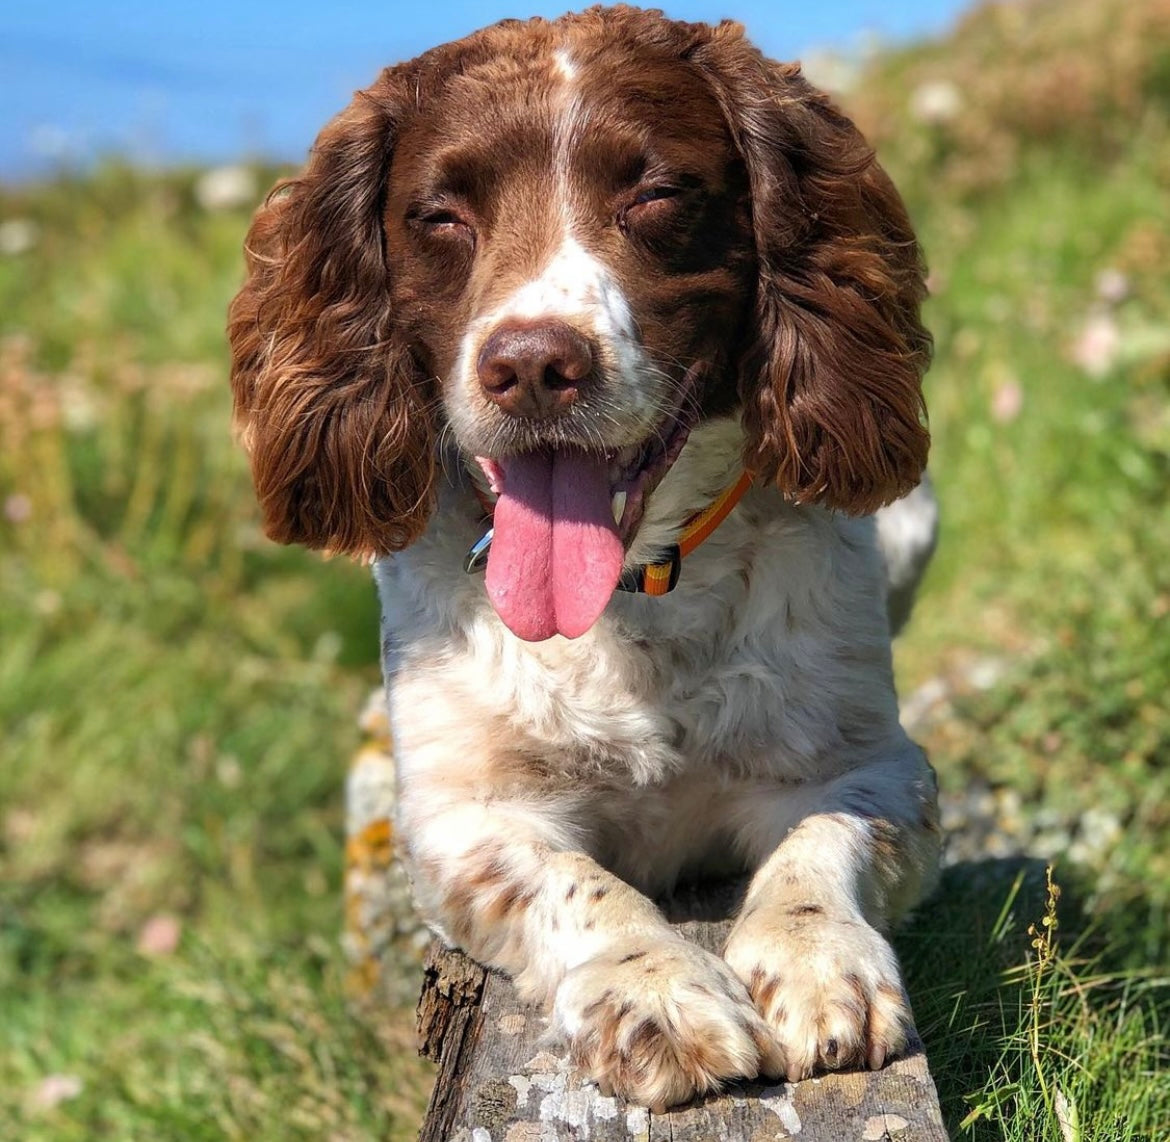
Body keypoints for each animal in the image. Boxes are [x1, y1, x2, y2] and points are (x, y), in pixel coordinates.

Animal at [225, 4, 940, 1109]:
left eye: (657, 192)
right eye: (439, 215)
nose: (532, 365)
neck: (633, 597)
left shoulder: (875, 763)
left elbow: (820, 839)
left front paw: (824, 965)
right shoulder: (460, 817)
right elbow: (575, 882)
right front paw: (658, 995)